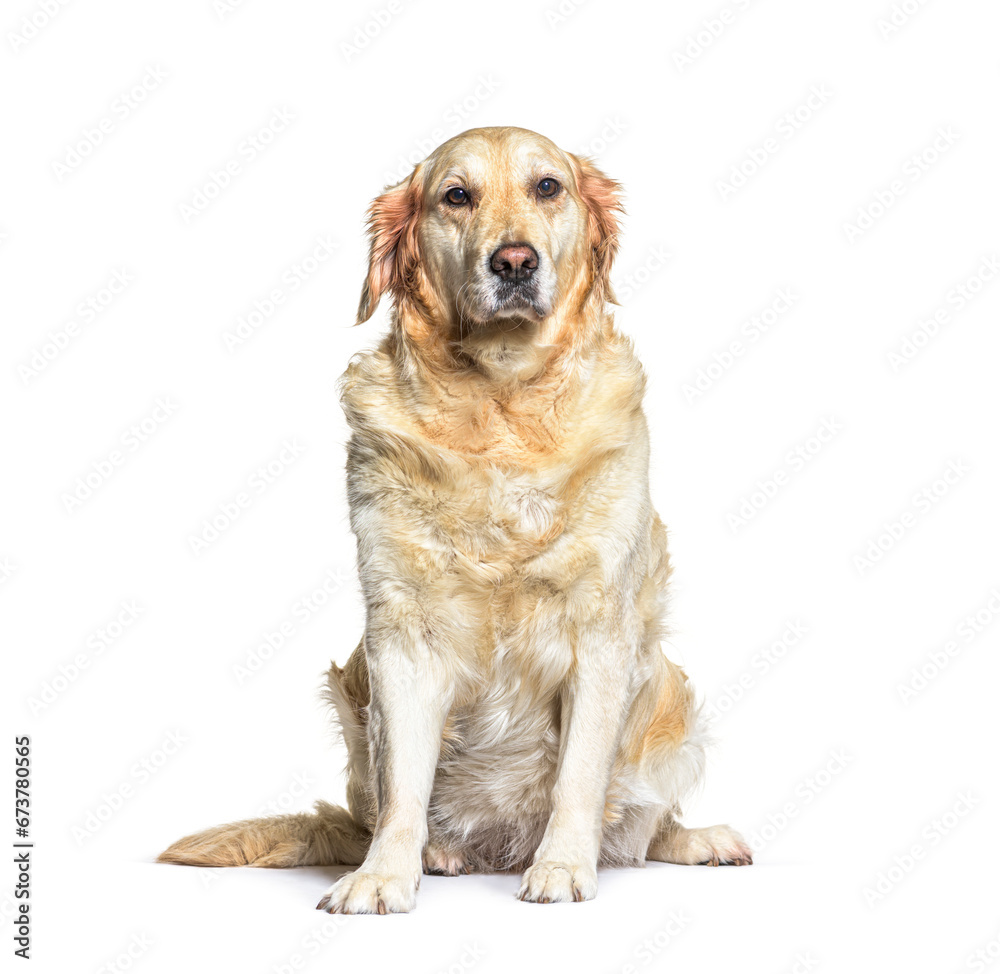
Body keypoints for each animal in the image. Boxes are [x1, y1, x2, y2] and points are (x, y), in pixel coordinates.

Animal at [158, 126, 752, 912]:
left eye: (547, 187)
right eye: (456, 195)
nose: (515, 261)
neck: (500, 404)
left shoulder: (601, 631)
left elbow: (579, 778)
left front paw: (564, 866)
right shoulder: (402, 635)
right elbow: (403, 786)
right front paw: (384, 875)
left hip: (669, 691)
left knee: (643, 827)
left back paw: (698, 839)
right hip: (354, 694)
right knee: (376, 807)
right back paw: (439, 854)